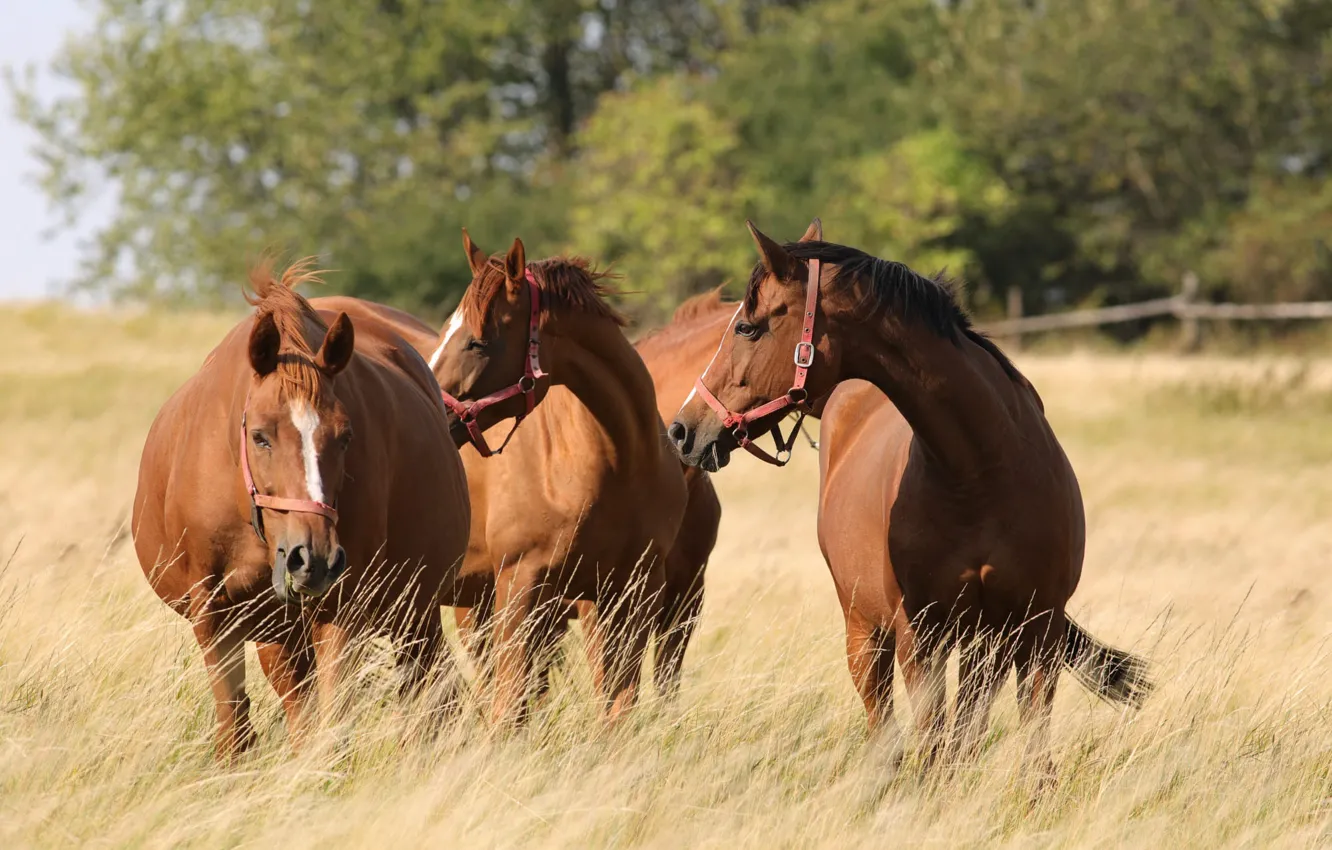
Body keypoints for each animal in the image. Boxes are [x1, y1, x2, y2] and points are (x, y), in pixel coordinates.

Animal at [132, 261, 470, 759]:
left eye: (346, 436)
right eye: (259, 436)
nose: (313, 559)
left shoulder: (341, 608)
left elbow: (332, 722)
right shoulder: (212, 614)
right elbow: (235, 727)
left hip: (414, 610)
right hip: (283, 633)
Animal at [327, 236, 687, 723]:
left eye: (478, 342)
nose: (428, 408)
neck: (618, 463)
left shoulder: (633, 591)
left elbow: (618, 706)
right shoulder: (520, 586)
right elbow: (509, 706)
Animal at [668, 224, 1151, 766]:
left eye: (748, 328)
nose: (683, 430)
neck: (982, 473)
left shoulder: (1032, 630)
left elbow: (1020, 753)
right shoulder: (921, 636)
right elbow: (934, 747)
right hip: (865, 634)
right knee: (885, 730)